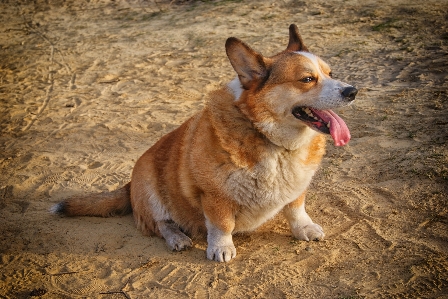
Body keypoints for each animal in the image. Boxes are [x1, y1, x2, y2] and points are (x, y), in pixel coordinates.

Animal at [50, 25, 356, 262]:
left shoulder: (297, 187)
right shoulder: (214, 195)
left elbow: (296, 208)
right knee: (160, 224)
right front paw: (221, 248)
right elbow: (221, 224)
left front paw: (304, 228)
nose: (353, 91)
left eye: (330, 73)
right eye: (307, 79)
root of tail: (128, 185)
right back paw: (177, 238)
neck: (269, 137)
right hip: (150, 189)